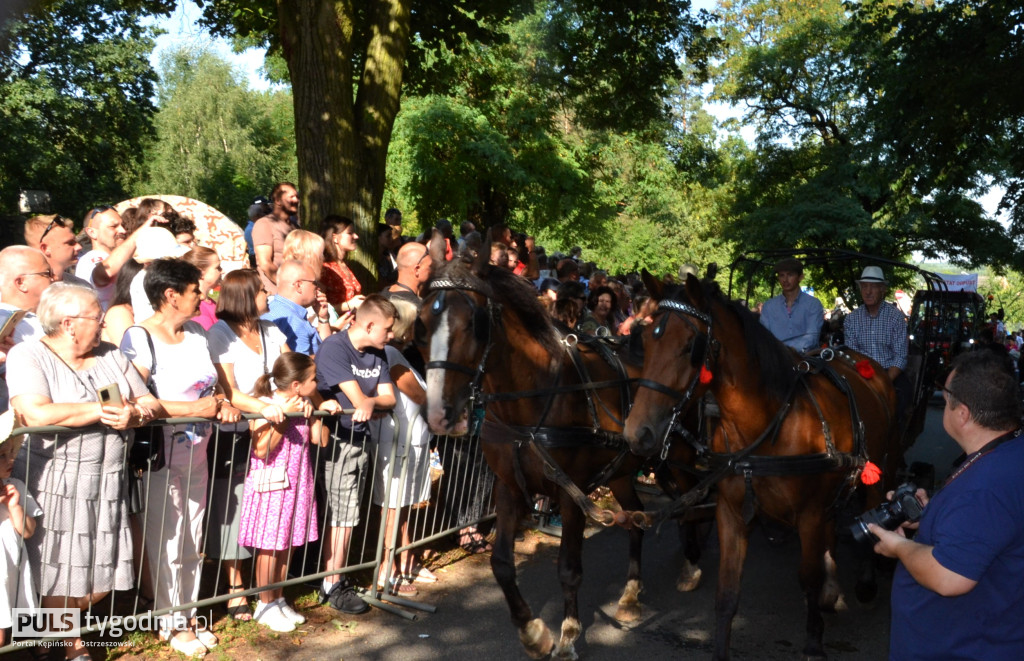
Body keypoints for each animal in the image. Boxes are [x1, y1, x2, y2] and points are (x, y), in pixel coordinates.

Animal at [419, 249, 708, 661]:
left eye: (475, 323)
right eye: (423, 322)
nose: (439, 414)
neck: (536, 401)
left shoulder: (572, 495)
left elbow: (569, 569)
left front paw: (569, 635)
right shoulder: (509, 487)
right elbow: (501, 563)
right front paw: (533, 632)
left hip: (679, 455)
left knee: (691, 503)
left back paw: (692, 564)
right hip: (622, 471)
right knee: (636, 518)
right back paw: (631, 594)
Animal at [618, 272, 901, 658]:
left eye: (691, 345)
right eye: (645, 340)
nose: (637, 432)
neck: (768, 424)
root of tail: (851, 353)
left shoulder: (809, 514)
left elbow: (807, 578)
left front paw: (814, 640)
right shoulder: (732, 513)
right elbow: (726, 593)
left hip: (876, 468)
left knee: (871, 512)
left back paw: (866, 584)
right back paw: (832, 589)